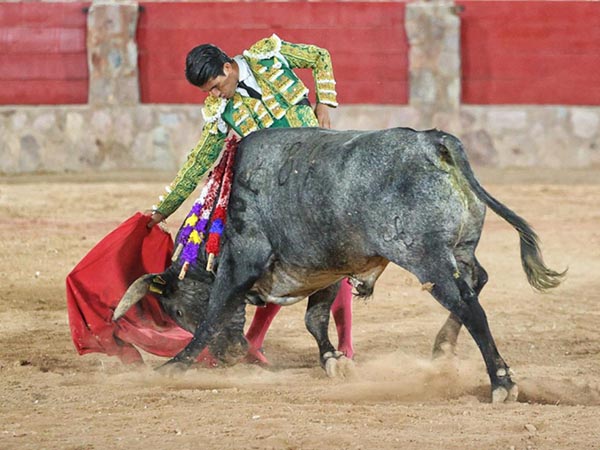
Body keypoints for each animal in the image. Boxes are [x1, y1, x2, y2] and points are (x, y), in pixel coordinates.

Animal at [113, 125, 568, 400]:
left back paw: (501, 382)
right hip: (460, 249)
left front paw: (173, 366)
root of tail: (431, 140)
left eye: (174, 310)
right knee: (476, 283)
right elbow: (315, 319)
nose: (229, 356)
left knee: (469, 306)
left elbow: (213, 313)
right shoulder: (327, 269)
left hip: (425, 258)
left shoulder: (242, 260)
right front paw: (333, 361)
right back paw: (443, 348)